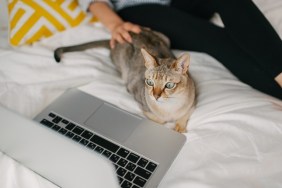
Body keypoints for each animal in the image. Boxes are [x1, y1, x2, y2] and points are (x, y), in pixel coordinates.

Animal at [53, 27, 196, 134]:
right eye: (150, 82)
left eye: (169, 85)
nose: (155, 96)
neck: (170, 108)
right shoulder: (137, 95)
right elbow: (160, 120)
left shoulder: (193, 99)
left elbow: (185, 114)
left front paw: (180, 127)